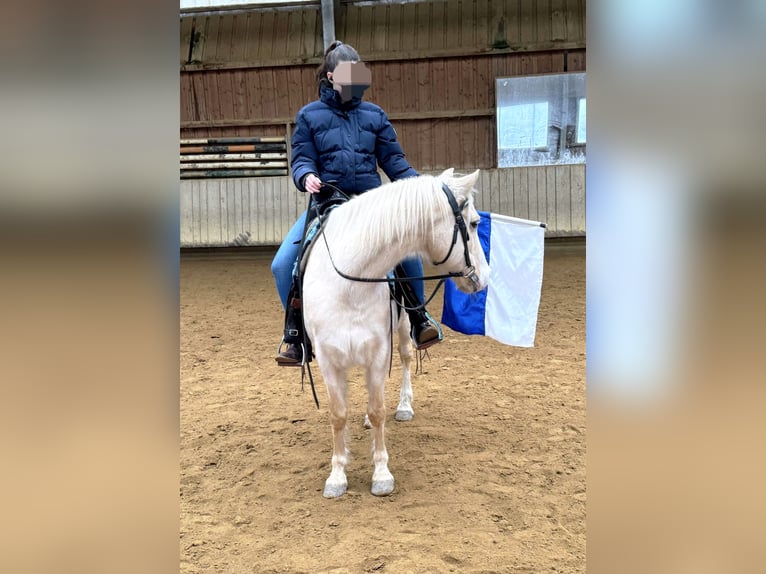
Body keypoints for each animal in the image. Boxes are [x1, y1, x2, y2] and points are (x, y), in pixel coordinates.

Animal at [302, 168, 490, 498]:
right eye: (474, 223)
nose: (485, 276)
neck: (350, 283)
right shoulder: (328, 358)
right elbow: (338, 415)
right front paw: (336, 477)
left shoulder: (378, 352)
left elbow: (378, 410)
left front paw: (381, 475)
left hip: (401, 331)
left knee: (404, 360)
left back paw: (403, 407)